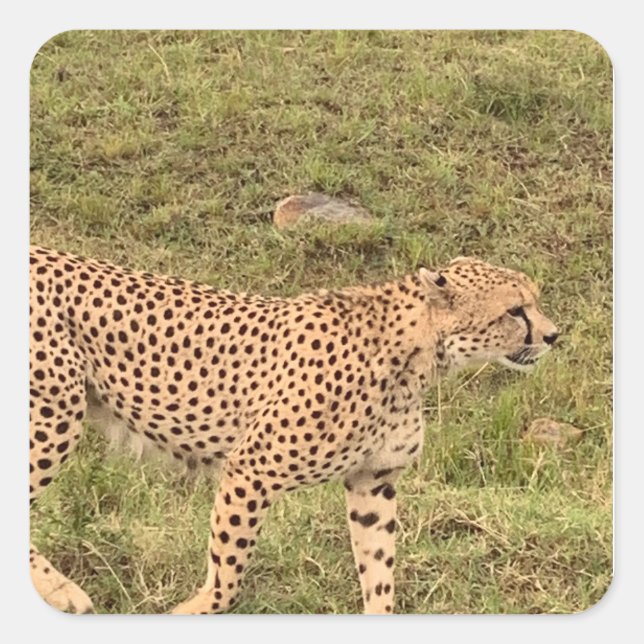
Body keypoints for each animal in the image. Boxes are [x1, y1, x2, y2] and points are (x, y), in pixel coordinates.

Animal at [29, 245, 559, 614]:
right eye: (515, 310)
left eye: (532, 303)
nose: (554, 335)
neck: (418, 354)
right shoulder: (251, 468)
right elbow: (228, 570)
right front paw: (195, 609)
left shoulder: (373, 482)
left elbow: (379, 569)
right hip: (52, 416)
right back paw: (63, 591)